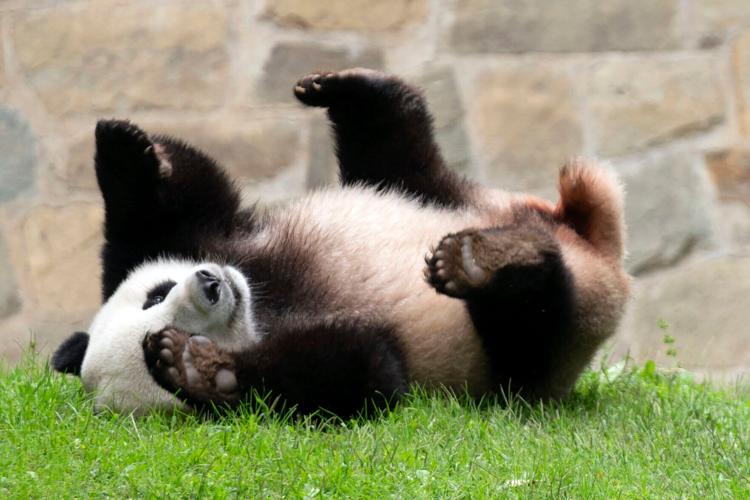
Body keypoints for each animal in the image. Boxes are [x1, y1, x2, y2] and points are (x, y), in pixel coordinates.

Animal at [51, 68, 630, 417]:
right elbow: (363, 373)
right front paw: (197, 368)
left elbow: (182, 206)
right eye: (168, 318)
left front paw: (123, 148)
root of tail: (595, 247)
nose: (211, 284)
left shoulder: (219, 240)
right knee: (532, 322)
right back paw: (488, 264)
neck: (264, 302)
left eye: (156, 294)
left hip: (453, 197)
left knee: (399, 154)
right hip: (534, 354)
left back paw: (350, 90)